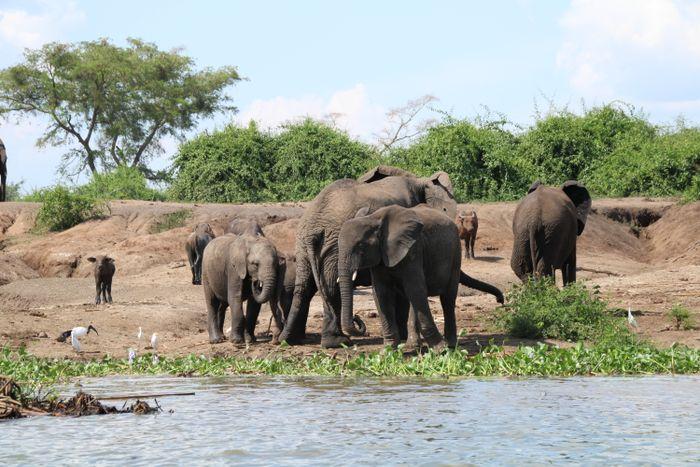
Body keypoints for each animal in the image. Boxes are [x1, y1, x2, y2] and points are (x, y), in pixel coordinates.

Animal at [278, 166, 460, 350]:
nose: (357, 318)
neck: (417, 180)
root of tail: (312, 227)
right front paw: (403, 338)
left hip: (305, 246)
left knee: (305, 288)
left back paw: (290, 340)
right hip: (330, 246)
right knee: (330, 287)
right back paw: (337, 342)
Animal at [340, 205, 504, 352]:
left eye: (360, 246)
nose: (500, 301)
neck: (373, 218)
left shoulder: (413, 250)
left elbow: (415, 288)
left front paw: (440, 351)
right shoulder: (380, 256)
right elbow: (381, 294)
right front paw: (387, 352)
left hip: (455, 255)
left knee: (447, 299)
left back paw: (450, 345)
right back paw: (413, 346)